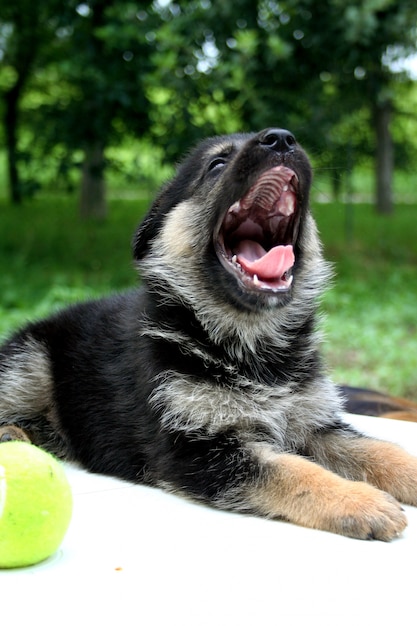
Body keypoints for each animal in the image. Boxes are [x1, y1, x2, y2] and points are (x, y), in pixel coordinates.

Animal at [0, 129, 416, 540]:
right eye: (217, 163)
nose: (281, 138)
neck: (252, 346)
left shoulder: (315, 424)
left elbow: (380, 450)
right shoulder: (197, 448)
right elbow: (293, 470)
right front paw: (358, 500)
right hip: (29, 363)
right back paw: (12, 434)